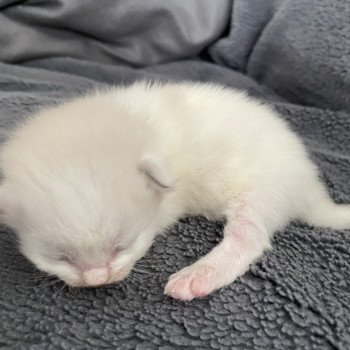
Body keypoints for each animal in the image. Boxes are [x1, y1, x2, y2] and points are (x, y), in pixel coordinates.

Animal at [0, 82, 350, 300]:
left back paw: (200, 275)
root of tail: (309, 184)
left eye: (123, 246)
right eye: (59, 258)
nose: (97, 280)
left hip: (261, 188)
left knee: (248, 237)